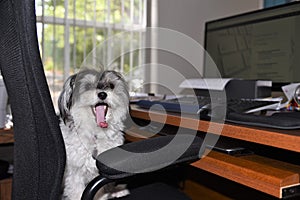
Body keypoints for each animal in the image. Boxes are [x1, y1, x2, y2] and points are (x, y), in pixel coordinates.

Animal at [58, 69, 129, 200]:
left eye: (111, 85)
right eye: (88, 86)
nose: (102, 94)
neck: (96, 134)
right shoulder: (75, 175)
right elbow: (77, 193)